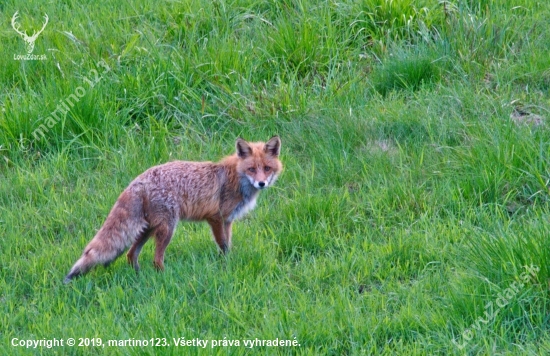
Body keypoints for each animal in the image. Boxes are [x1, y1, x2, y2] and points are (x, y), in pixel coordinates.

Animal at [63, 135, 284, 282]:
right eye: (251, 169)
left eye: (267, 168)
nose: (261, 183)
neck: (235, 178)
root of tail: (137, 181)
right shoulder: (215, 218)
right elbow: (222, 245)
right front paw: (225, 265)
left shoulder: (227, 221)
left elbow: (227, 245)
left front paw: (227, 262)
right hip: (167, 228)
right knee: (156, 259)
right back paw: (165, 277)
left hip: (148, 229)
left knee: (130, 254)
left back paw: (138, 276)